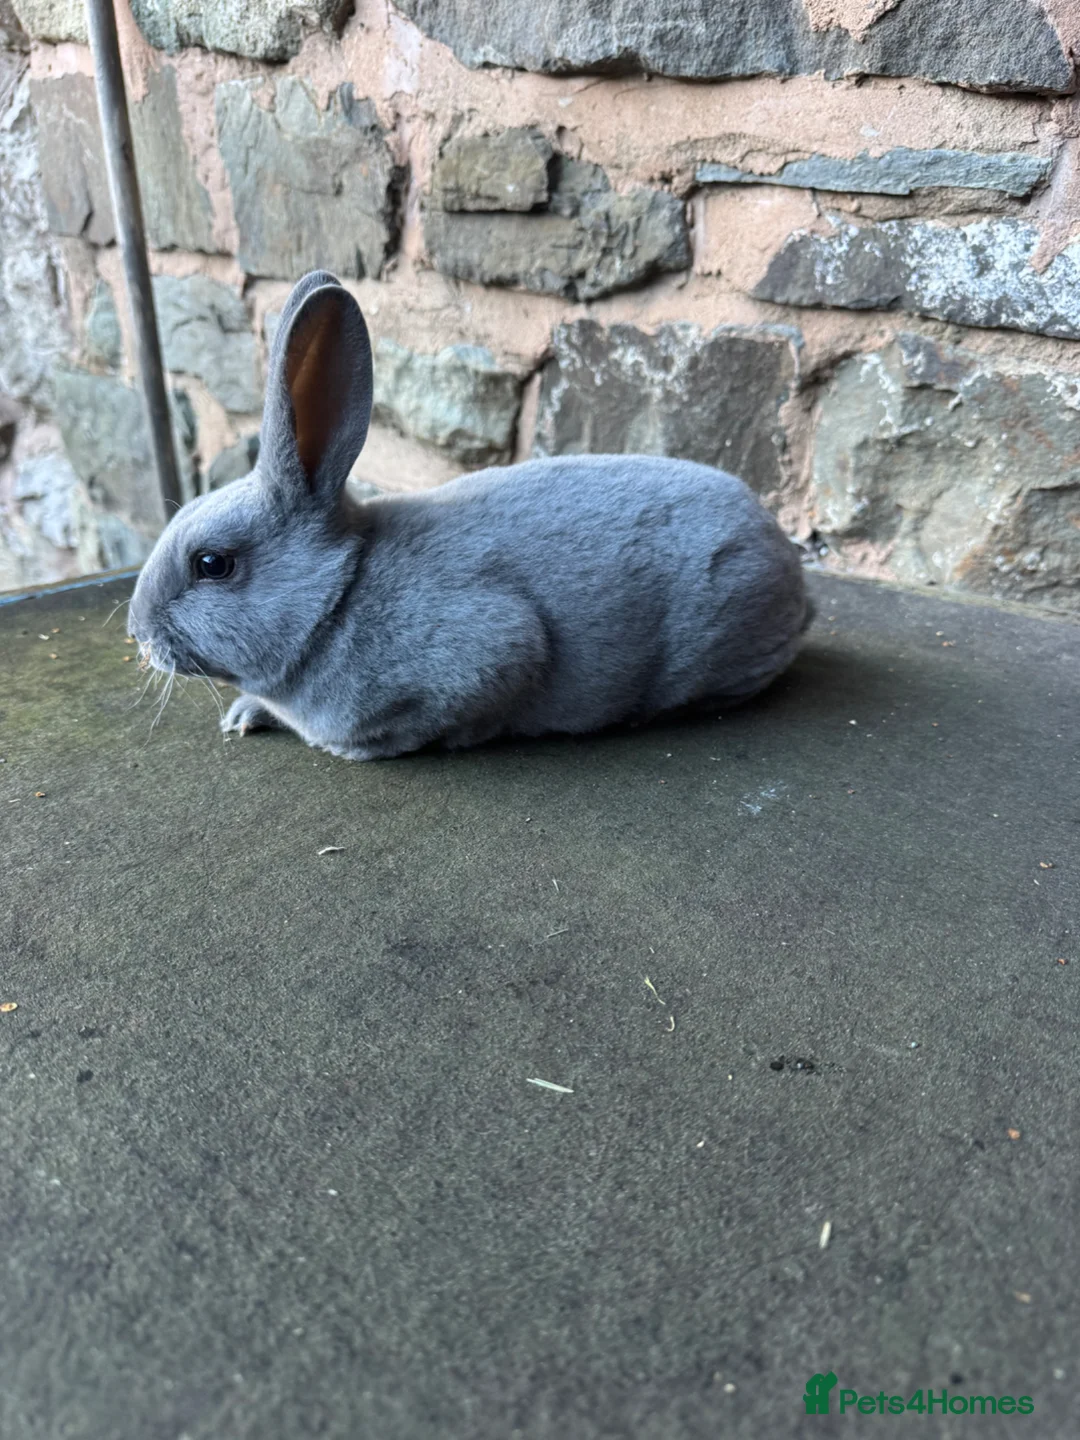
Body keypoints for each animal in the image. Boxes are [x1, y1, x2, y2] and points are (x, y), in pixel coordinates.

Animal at [127, 269, 813, 761]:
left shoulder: (496, 649)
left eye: (213, 564)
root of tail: (791, 570)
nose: (137, 633)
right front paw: (244, 717)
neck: (338, 596)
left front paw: (352, 747)